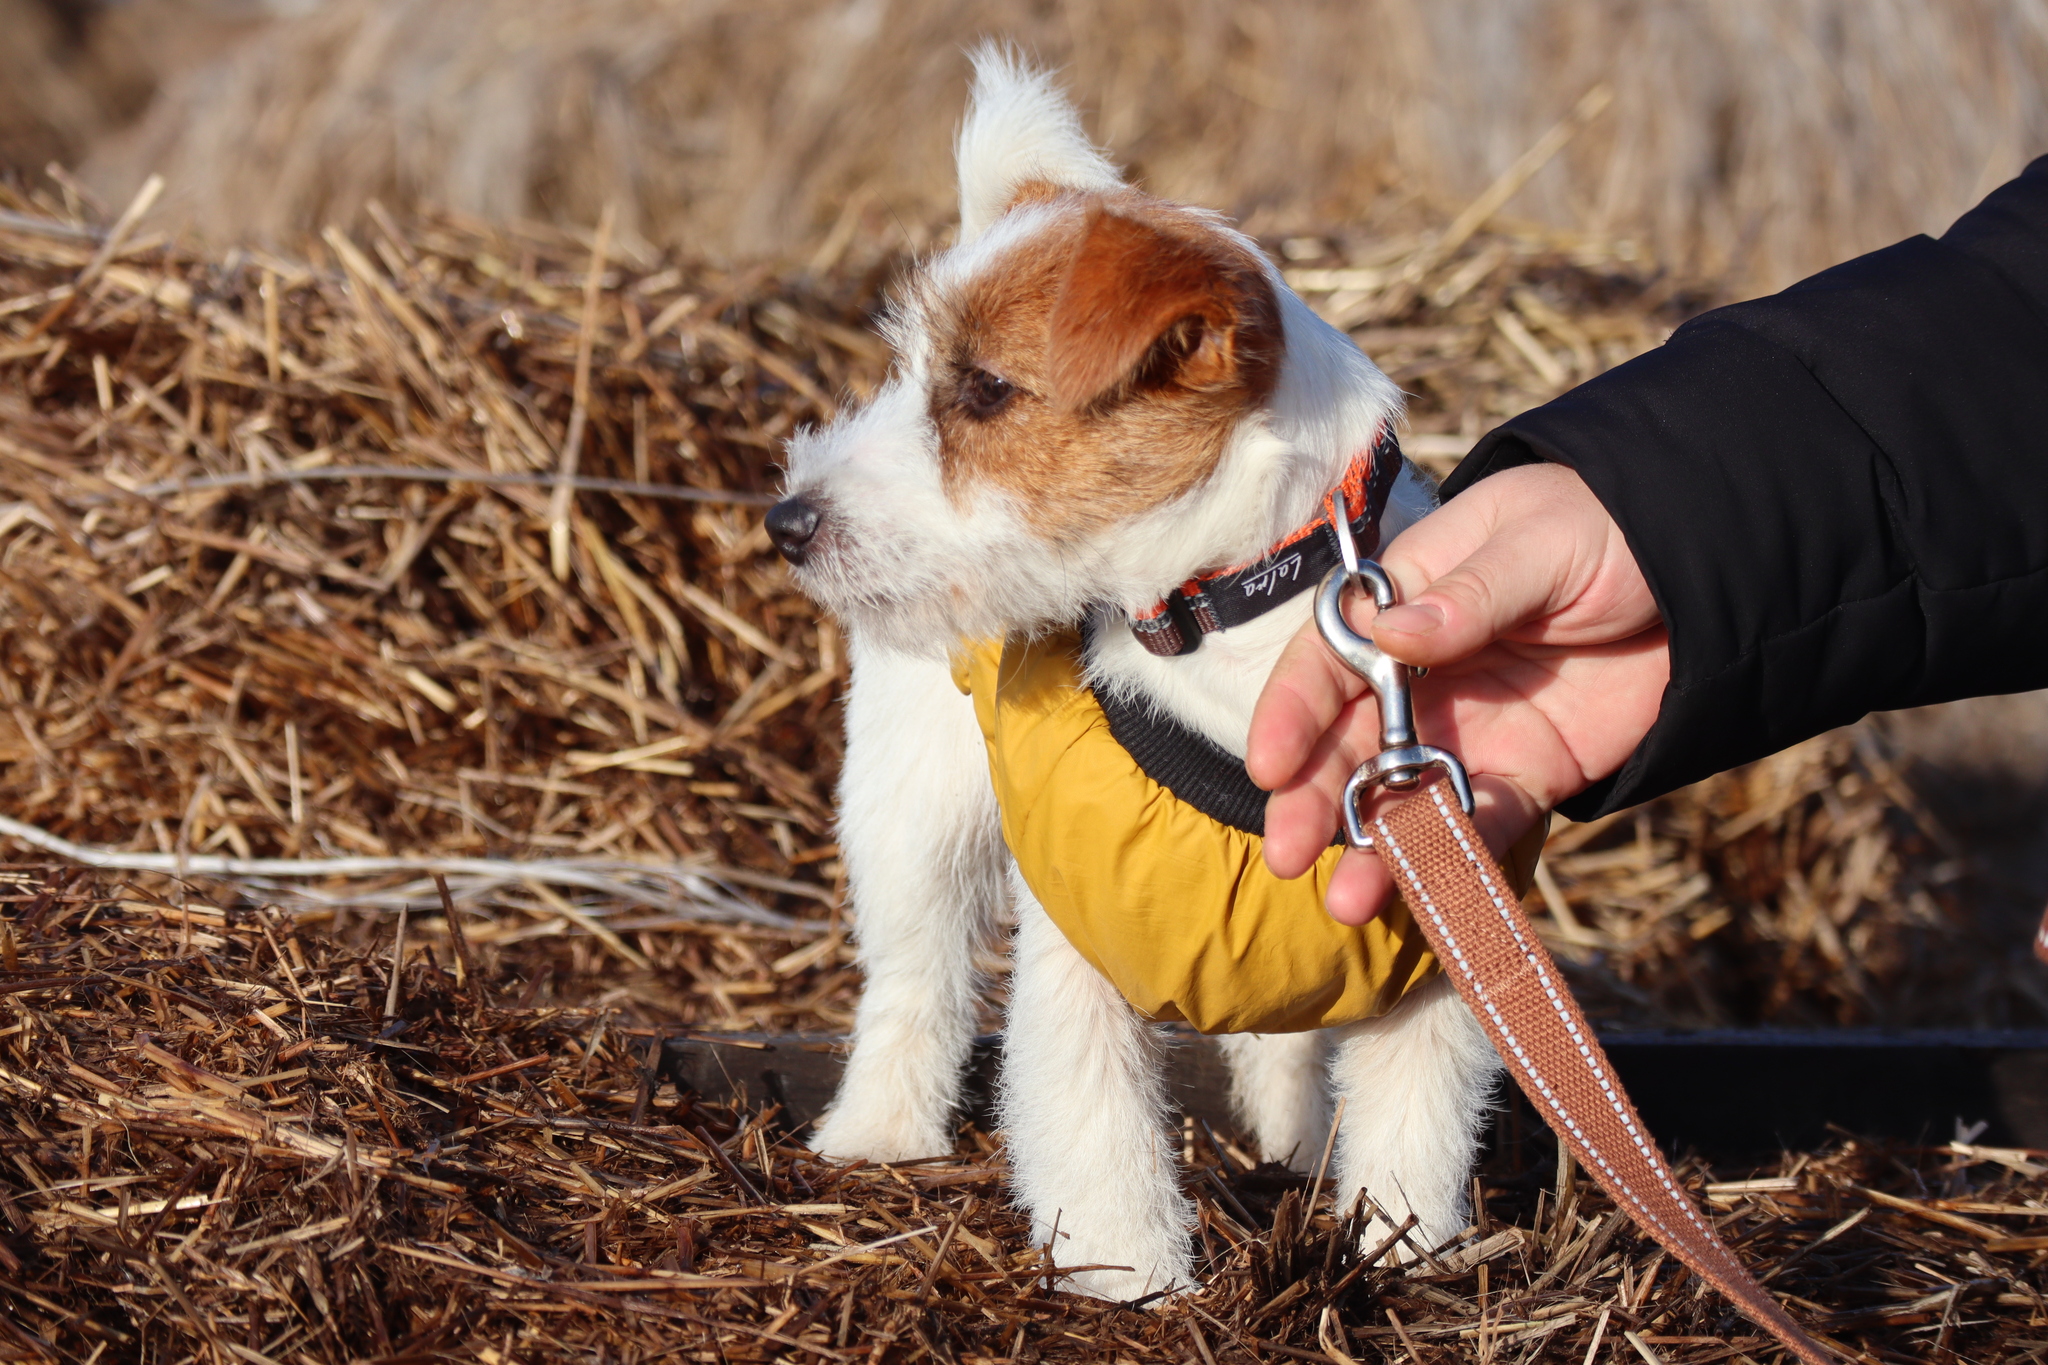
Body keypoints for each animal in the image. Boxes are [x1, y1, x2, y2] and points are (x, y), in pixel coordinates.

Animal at [770, 50, 1507, 1301]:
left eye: (982, 391)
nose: (787, 520)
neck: (1228, 620)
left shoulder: (1433, 951)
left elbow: (1411, 1130)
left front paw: (1403, 1260)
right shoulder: (1081, 941)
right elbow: (1095, 1124)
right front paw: (1133, 1282)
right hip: (910, 813)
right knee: (912, 984)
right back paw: (877, 1137)